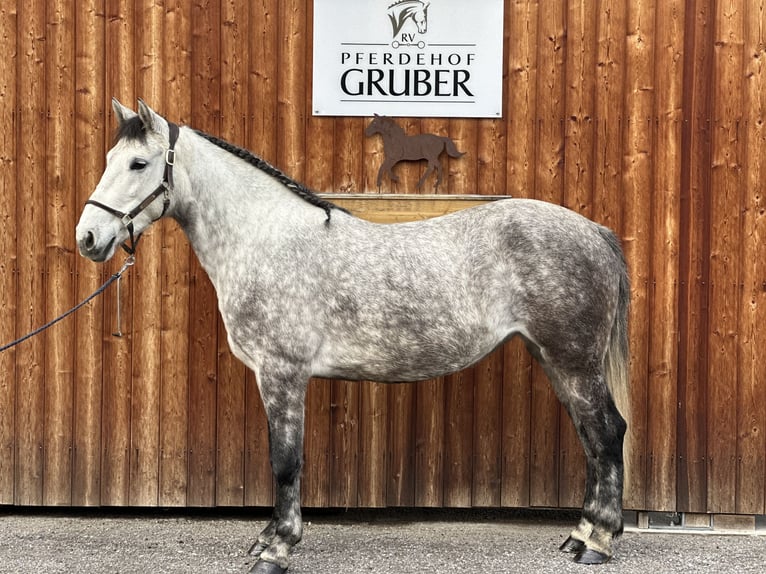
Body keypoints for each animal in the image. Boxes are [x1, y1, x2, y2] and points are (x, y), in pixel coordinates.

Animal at [76, 99, 630, 574]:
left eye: (139, 164)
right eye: (108, 160)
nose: (87, 238)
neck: (267, 239)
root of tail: (594, 232)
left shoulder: (282, 374)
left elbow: (285, 460)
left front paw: (276, 549)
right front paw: (266, 537)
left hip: (573, 360)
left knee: (606, 434)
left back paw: (598, 543)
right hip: (554, 358)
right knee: (591, 438)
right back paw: (579, 535)